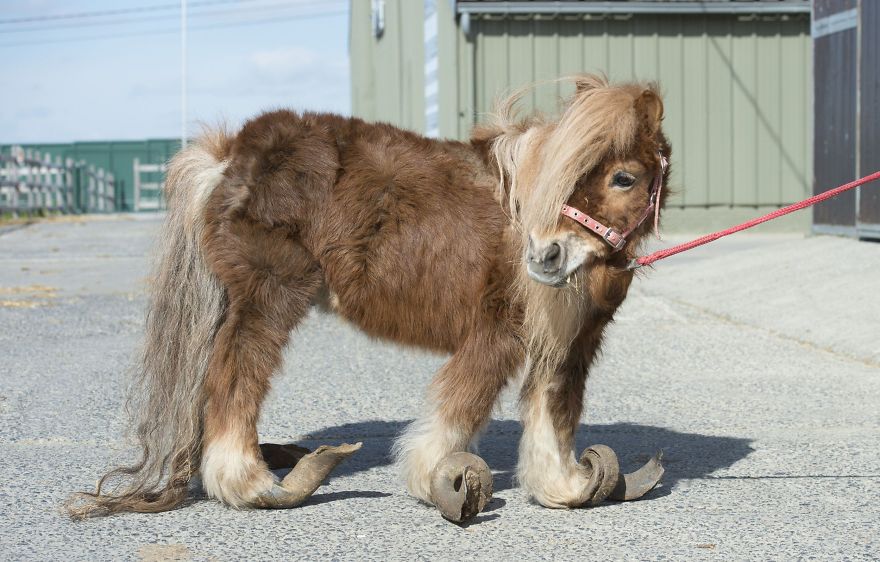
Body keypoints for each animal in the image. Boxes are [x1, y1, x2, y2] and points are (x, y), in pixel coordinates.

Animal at [68, 74, 671, 522]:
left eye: (624, 178)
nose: (544, 257)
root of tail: (229, 155)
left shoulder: (567, 342)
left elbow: (554, 409)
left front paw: (564, 485)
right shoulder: (497, 332)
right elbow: (459, 407)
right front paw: (440, 482)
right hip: (268, 297)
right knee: (234, 376)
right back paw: (255, 485)